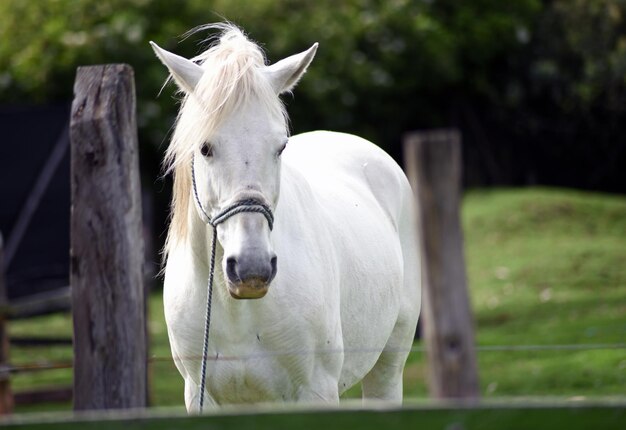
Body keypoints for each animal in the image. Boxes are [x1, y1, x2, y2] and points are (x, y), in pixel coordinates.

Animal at [151, 24, 420, 414]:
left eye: (279, 147)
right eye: (205, 148)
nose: (251, 269)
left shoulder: (316, 391)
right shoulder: (202, 399)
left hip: (388, 365)